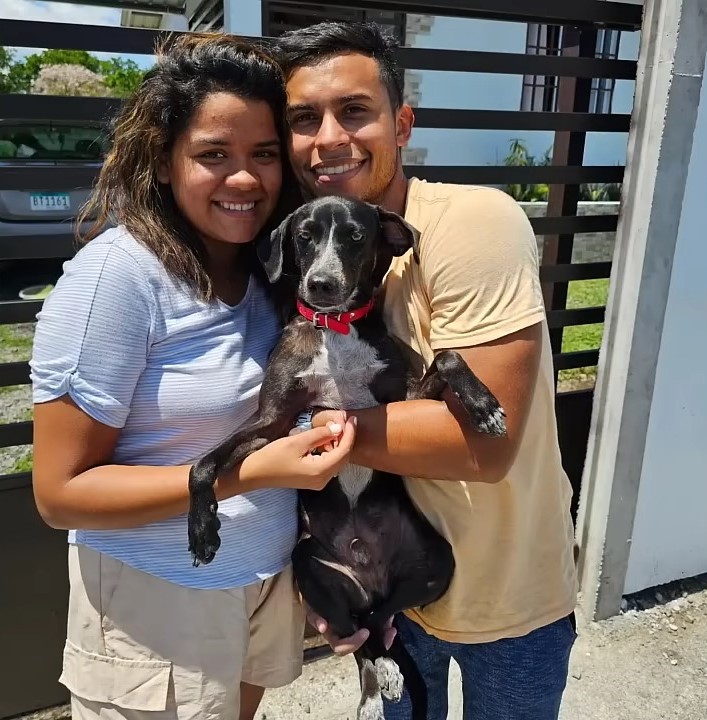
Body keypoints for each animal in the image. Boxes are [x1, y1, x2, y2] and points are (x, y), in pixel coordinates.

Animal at [188, 195, 506, 720]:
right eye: (305, 235)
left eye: (356, 236)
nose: (321, 284)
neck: (337, 330)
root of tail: (369, 577)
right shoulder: (274, 424)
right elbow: (201, 465)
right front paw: (202, 530)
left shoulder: (405, 400)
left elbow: (449, 357)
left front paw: (484, 406)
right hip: (310, 566)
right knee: (360, 634)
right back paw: (376, 688)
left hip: (436, 563)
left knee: (378, 619)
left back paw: (386, 675)